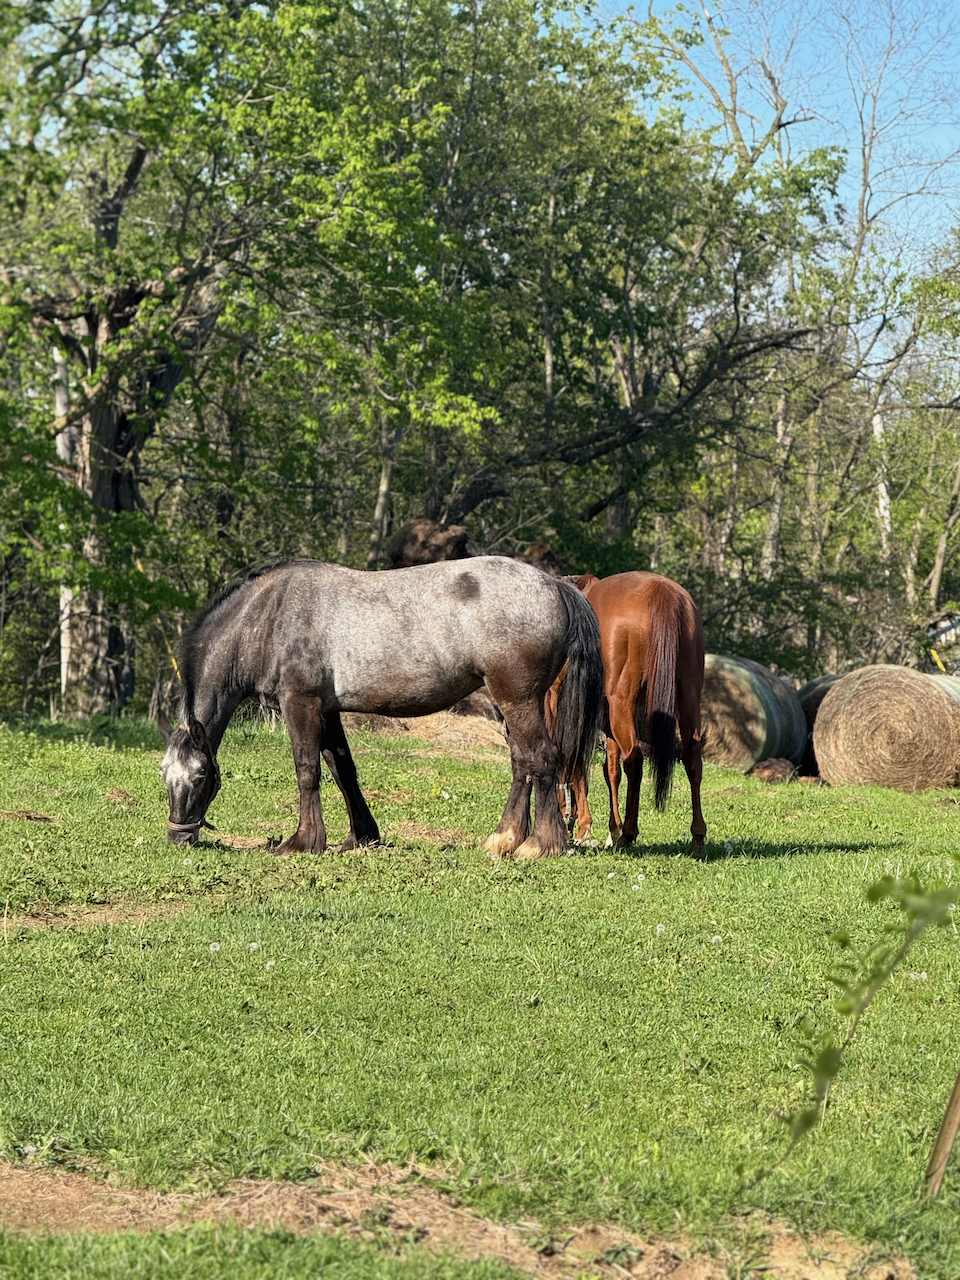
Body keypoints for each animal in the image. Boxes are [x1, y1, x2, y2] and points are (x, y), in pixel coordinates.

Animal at [159, 557, 603, 860]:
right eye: (164, 774)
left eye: (201, 776)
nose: (179, 836)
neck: (269, 615)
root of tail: (554, 584)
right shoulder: (327, 710)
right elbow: (342, 768)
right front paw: (361, 835)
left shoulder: (300, 704)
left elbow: (307, 769)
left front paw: (303, 841)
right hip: (508, 703)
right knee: (521, 763)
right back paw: (505, 838)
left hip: (518, 700)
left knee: (541, 758)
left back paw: (540, 844)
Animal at [546, 571, 706, 858]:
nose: (568, 821)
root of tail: (661, 591)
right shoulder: (605, 720)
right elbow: (610, 771)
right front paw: (610, 829)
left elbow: (574, 763)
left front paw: (587, 827)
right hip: (687, 697)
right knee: (692, 758)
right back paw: (697, 837)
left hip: (623, 704)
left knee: (634, 759)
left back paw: (629, 833)